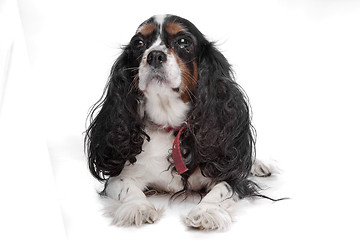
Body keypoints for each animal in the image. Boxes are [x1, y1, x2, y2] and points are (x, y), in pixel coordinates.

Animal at [85, 13, 276, 231]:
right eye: (138, 43)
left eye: (183, 42)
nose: (155, 55)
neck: (170, 126)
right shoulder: (120, 176)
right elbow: (128, 188)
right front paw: (138, 207)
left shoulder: (231, 178)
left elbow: (221, 189)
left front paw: (206, 211)